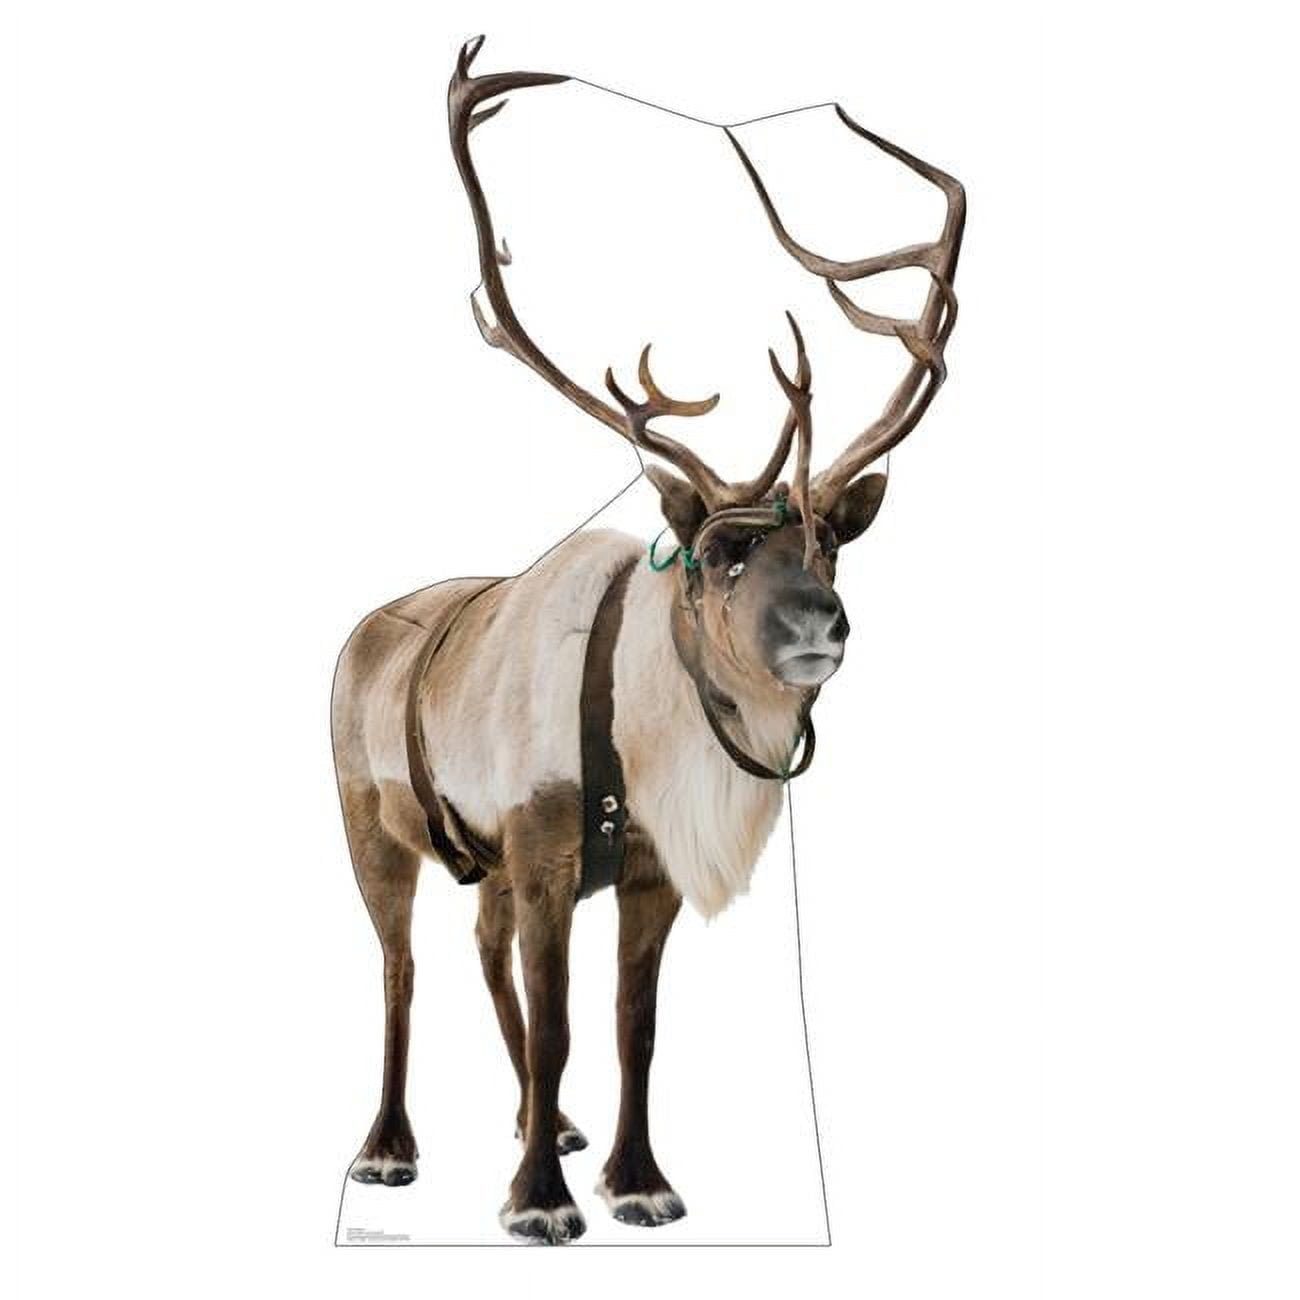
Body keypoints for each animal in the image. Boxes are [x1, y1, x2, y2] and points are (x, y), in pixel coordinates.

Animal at [332, 36, 964, 1244]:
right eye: (717, 555)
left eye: (830, 545)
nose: (822, 625)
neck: (645, 721)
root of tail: (365, 628)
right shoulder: (541, 852)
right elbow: (562, 1020)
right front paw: (538, 1202)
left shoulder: (645, 873)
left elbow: (634, 1027)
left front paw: (633, 1179)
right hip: (371, 827)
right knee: (397, 968)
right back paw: (390, 1150)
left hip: (483, 863)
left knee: (480, 958)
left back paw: (551, 1123)